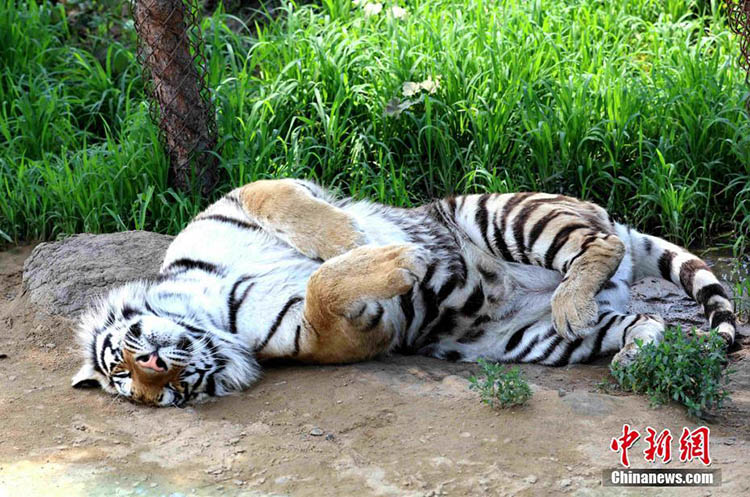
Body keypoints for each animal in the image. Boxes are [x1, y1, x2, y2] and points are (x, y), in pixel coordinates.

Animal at [71, 179, 737, 407]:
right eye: (147, 390)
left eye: (126, 355)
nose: (156, 368)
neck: (211, 306)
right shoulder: (335, 334)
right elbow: (321, 292)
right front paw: (395, 261)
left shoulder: (248, 195)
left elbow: (305, 226)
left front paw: (360, 241)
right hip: (530, 339)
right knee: (645, 323)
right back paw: (640, 356)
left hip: (499, 212)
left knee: (599, 248)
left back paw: (573, 299)